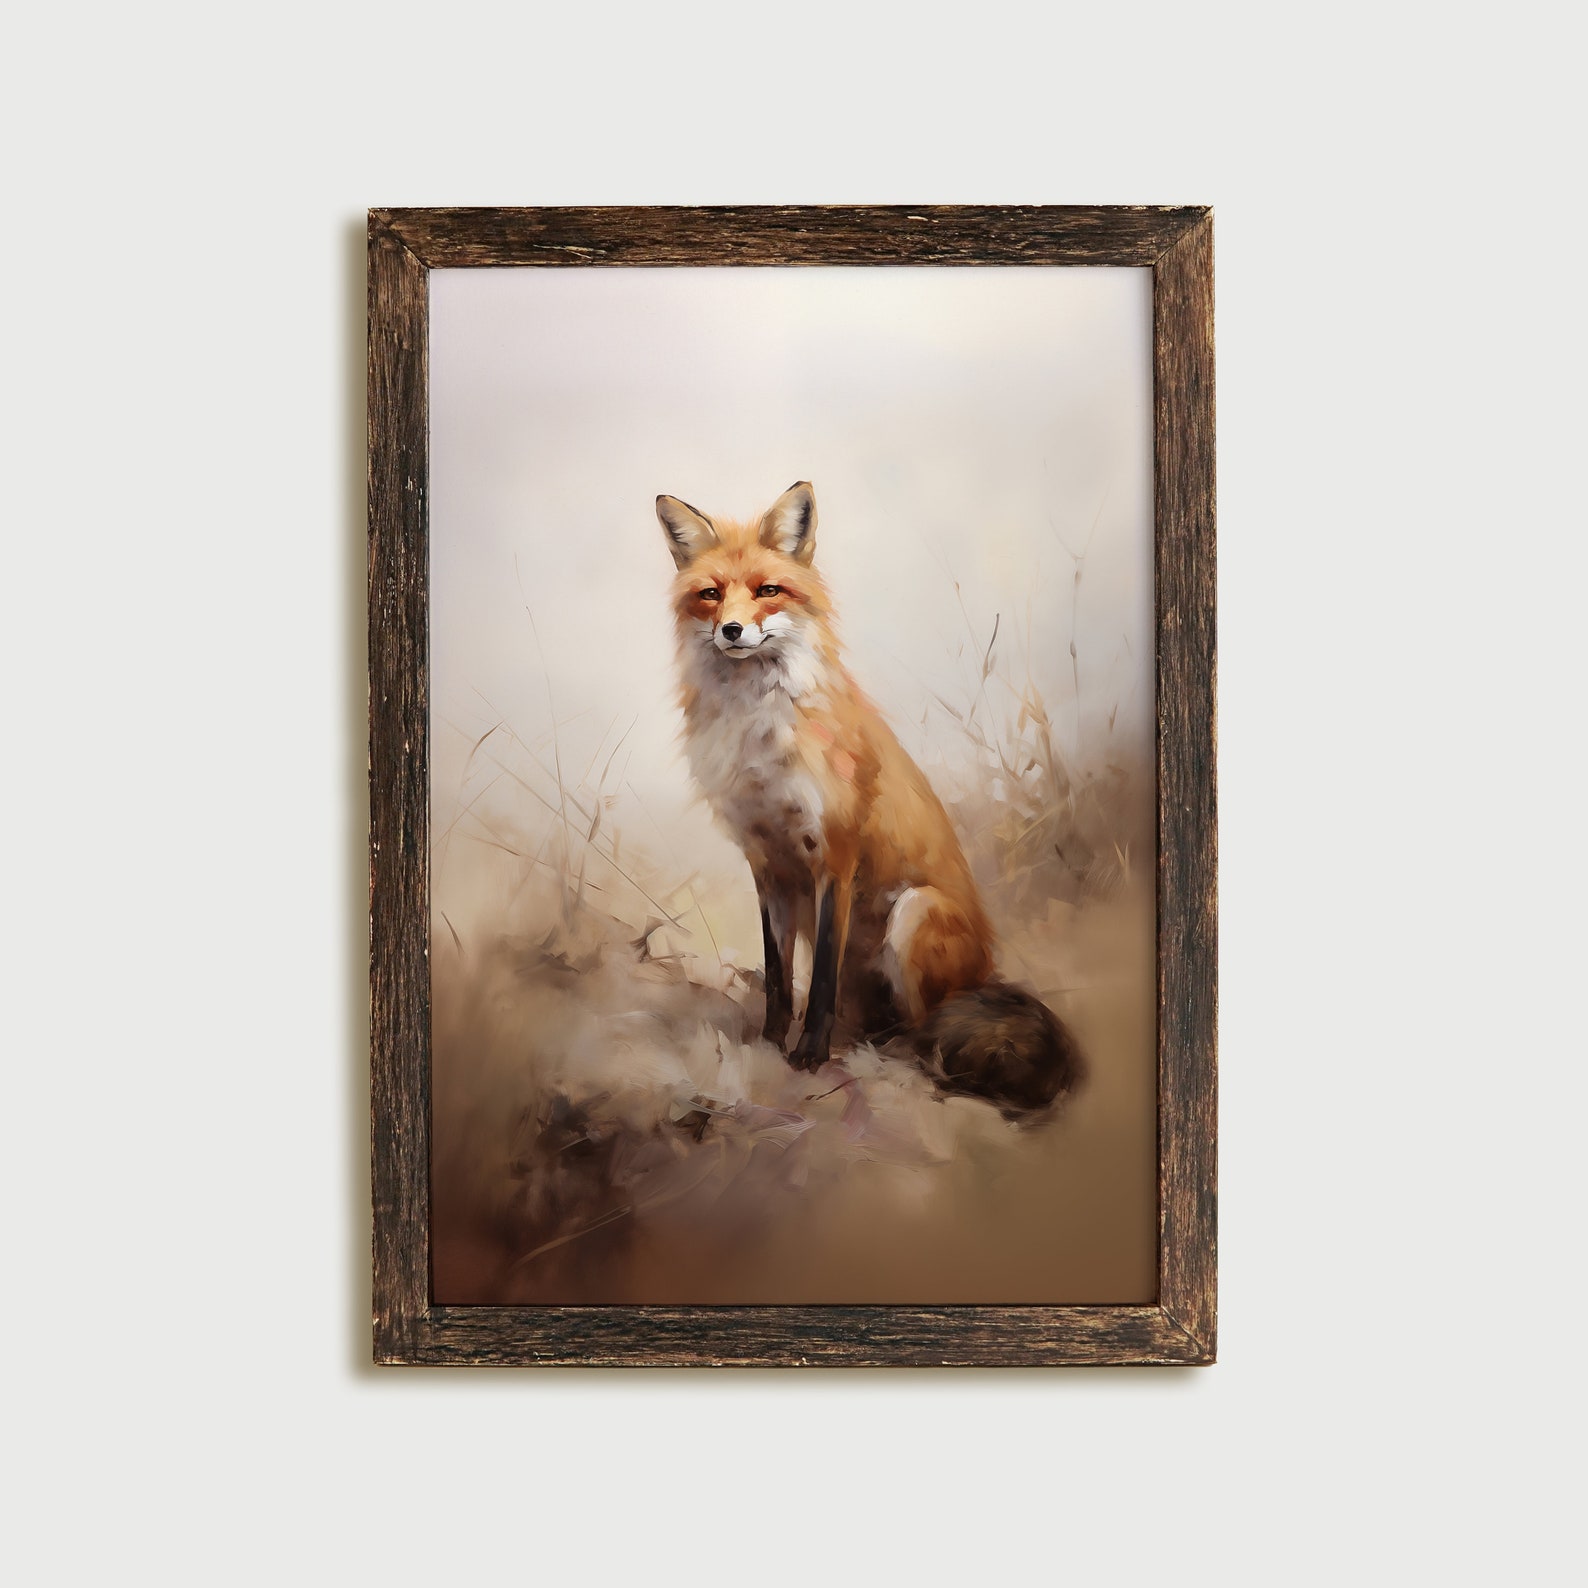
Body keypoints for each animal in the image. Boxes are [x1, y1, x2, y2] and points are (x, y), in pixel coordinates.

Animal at [657, 480, 1083, 1117]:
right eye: (711, 595)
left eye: (767, 591)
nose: (731, 631)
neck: (758, 732)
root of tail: (984, 976)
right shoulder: (767, 861)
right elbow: (779, 975)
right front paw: (768, 1041)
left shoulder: (834, 853)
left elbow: (820, 980)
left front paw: (809, 1054)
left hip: (914, 913)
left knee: (924, 1029)